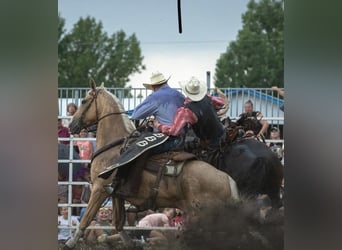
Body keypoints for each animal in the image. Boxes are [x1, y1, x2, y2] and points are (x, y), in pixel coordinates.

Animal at [64, 81, 238, 249]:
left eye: (83, 101)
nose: (72, 125)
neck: (114, 147)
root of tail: (227, 180)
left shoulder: (99, 189)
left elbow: (86, 220)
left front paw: (69, 244)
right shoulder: (115, 193)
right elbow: (118, 223)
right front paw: (132, 244)